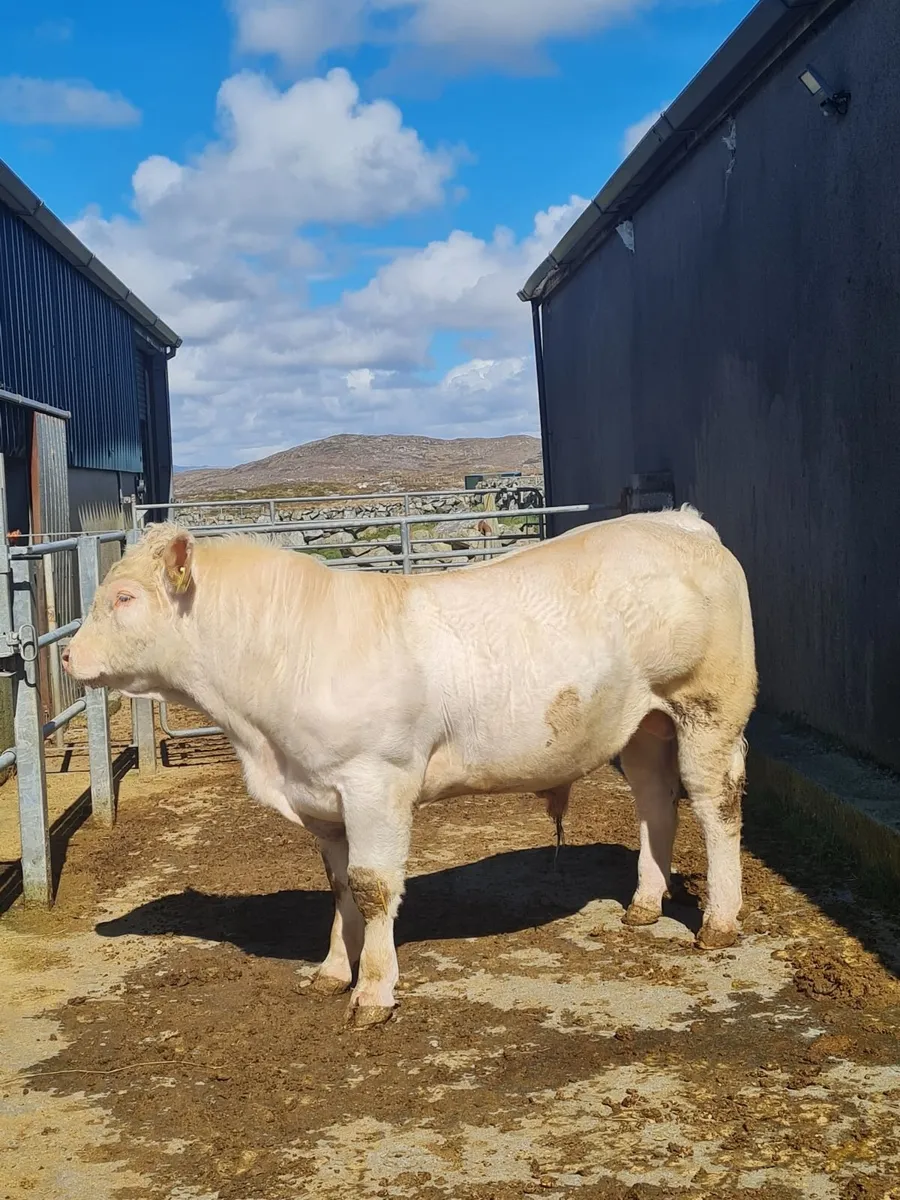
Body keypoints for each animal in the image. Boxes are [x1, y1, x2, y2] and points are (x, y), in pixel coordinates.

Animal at [63, 506, 757, 1028]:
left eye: (123, 596)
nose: (67, 657)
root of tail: (679, 521)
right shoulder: (321, 795)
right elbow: (339, 885)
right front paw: (330, 972)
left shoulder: (376, 778)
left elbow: (372, 886)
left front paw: (372, 993)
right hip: (641, 722)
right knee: (654, 798)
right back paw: (643, 904)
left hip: (709, 705)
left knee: (714, 802)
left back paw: (718, 924)